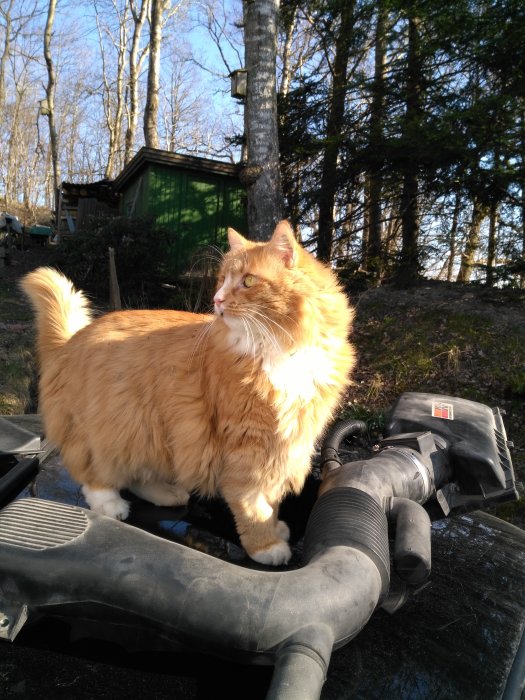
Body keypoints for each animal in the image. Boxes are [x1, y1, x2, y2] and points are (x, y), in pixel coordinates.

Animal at [22, 221, 354, 568]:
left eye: (248, 281)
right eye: (222, 280)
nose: (217, 300)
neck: (278, 351)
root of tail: (70, 342)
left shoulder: (282, 445)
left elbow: (271, 500)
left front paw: (275, 528)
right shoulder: (247, 447)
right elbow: (253, 505)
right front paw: (265, 545)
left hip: (149, 435)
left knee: (137, 475)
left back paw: (169, 495)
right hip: (117, 427)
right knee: (93, 473)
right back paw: (111, 504)